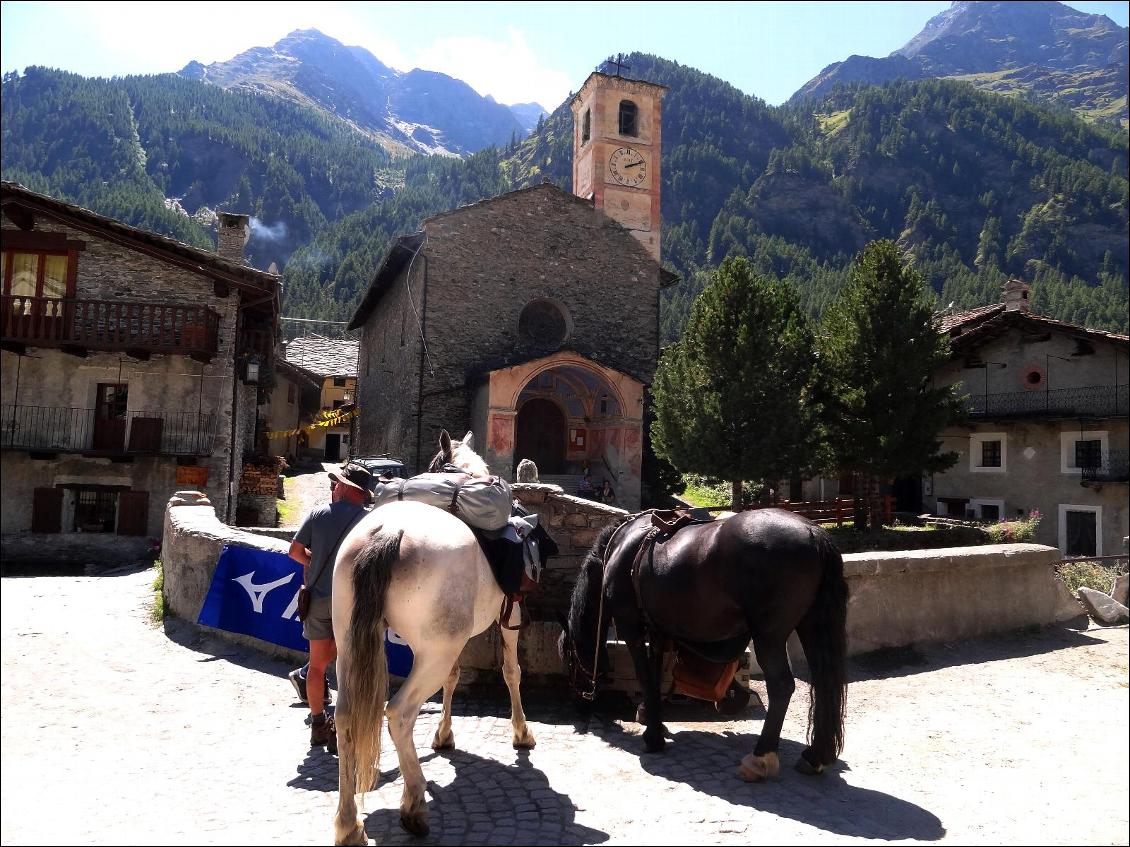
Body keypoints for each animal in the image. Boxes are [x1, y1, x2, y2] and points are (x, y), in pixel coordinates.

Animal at [329, 433, 533, 844]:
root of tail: (389, 531)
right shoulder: (511, 616)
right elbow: (511, 671)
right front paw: (521, 732)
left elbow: (455, 679)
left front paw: (444, 735)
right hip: (434, 654)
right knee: (399, 713)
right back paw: (414, 805)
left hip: (350, 644)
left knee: (345, 715)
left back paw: (348, 823)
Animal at [560, 510, 845, 781]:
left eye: (569, 658)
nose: (577, 702)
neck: (622, 547)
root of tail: (813, 532)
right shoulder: (657, 629)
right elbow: (655, 674)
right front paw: (653, 719)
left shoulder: (631, 626)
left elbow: (644, 675)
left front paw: (653, 736)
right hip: (811, 625)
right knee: (824, 683)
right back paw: (815, 756)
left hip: (769, 635)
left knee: (782, 686)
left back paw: (760, 758)